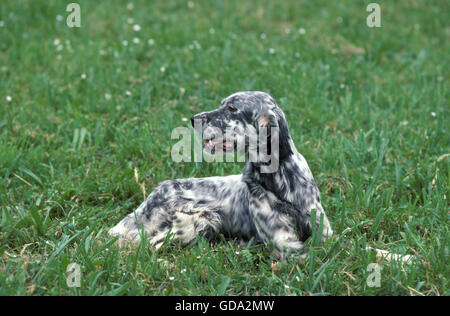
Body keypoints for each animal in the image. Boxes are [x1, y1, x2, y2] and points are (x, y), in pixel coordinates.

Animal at [110, 90, 334, 260]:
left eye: (232, 109)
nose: (193, 119)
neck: (279, 178)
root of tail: (152, 196)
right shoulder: (281, 239)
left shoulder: (323, 230)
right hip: (201, 220)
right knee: (144, 246)